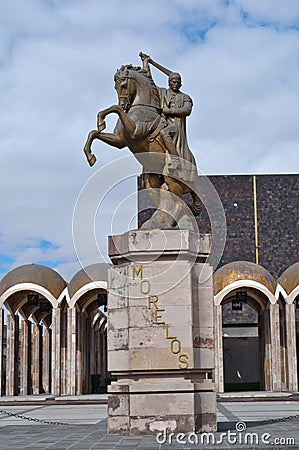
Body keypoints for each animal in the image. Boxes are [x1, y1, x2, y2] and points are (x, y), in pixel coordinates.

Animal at [83, 64, 203, 229]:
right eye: (115, 86)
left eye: (123, 85)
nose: (124, 105)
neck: (142, 107)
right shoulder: (119, 141)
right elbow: (93, 133)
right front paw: (90, 156)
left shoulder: (134, 131)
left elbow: (114, 109)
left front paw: (102, 119)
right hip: (151, 182)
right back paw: (154, 224)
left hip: (172, 179)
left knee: (179, 204)